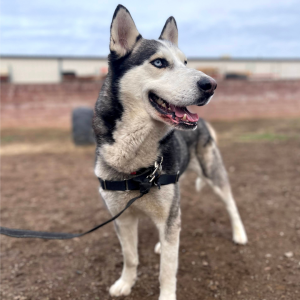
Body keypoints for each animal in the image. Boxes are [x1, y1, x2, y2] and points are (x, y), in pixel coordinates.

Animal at [92, 5, 247, 300]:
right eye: (159, 63)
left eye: (186, 62)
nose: (211, 84)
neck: (137, 164)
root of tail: (204, 123)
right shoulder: (123, 218)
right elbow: (131, 257)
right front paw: (126, 283)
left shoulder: (166, 217)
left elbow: (167, 270)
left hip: (213, 174)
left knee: (231, 204)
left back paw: (239, 233)